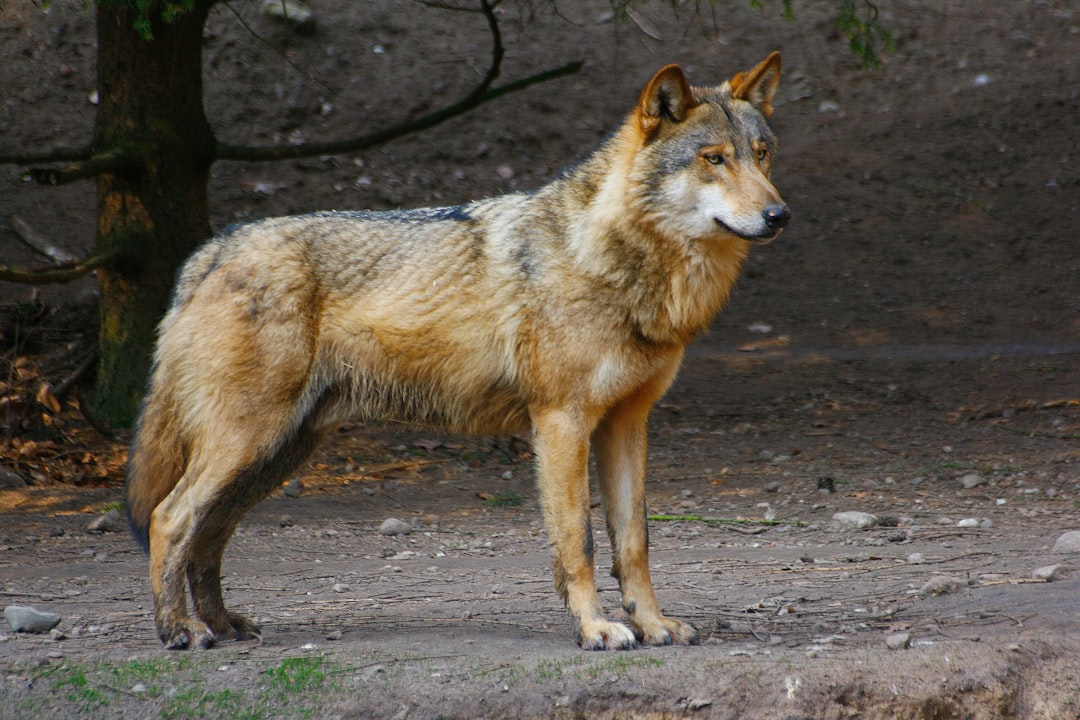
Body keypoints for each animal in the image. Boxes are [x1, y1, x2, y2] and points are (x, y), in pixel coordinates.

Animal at [126, 52, 790, 651]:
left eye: (761, 154)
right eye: (714, 159)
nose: (779, 214)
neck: (616, 262)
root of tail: (210, 251)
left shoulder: (627, 424)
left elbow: (635, 544)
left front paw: (652, 625)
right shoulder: (561, 423)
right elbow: (578, 544)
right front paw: (597, 629)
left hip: (275, 454)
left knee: (208, 535)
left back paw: (223, 625)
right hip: (248, 442)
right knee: (169, 518)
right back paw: (180, 630)